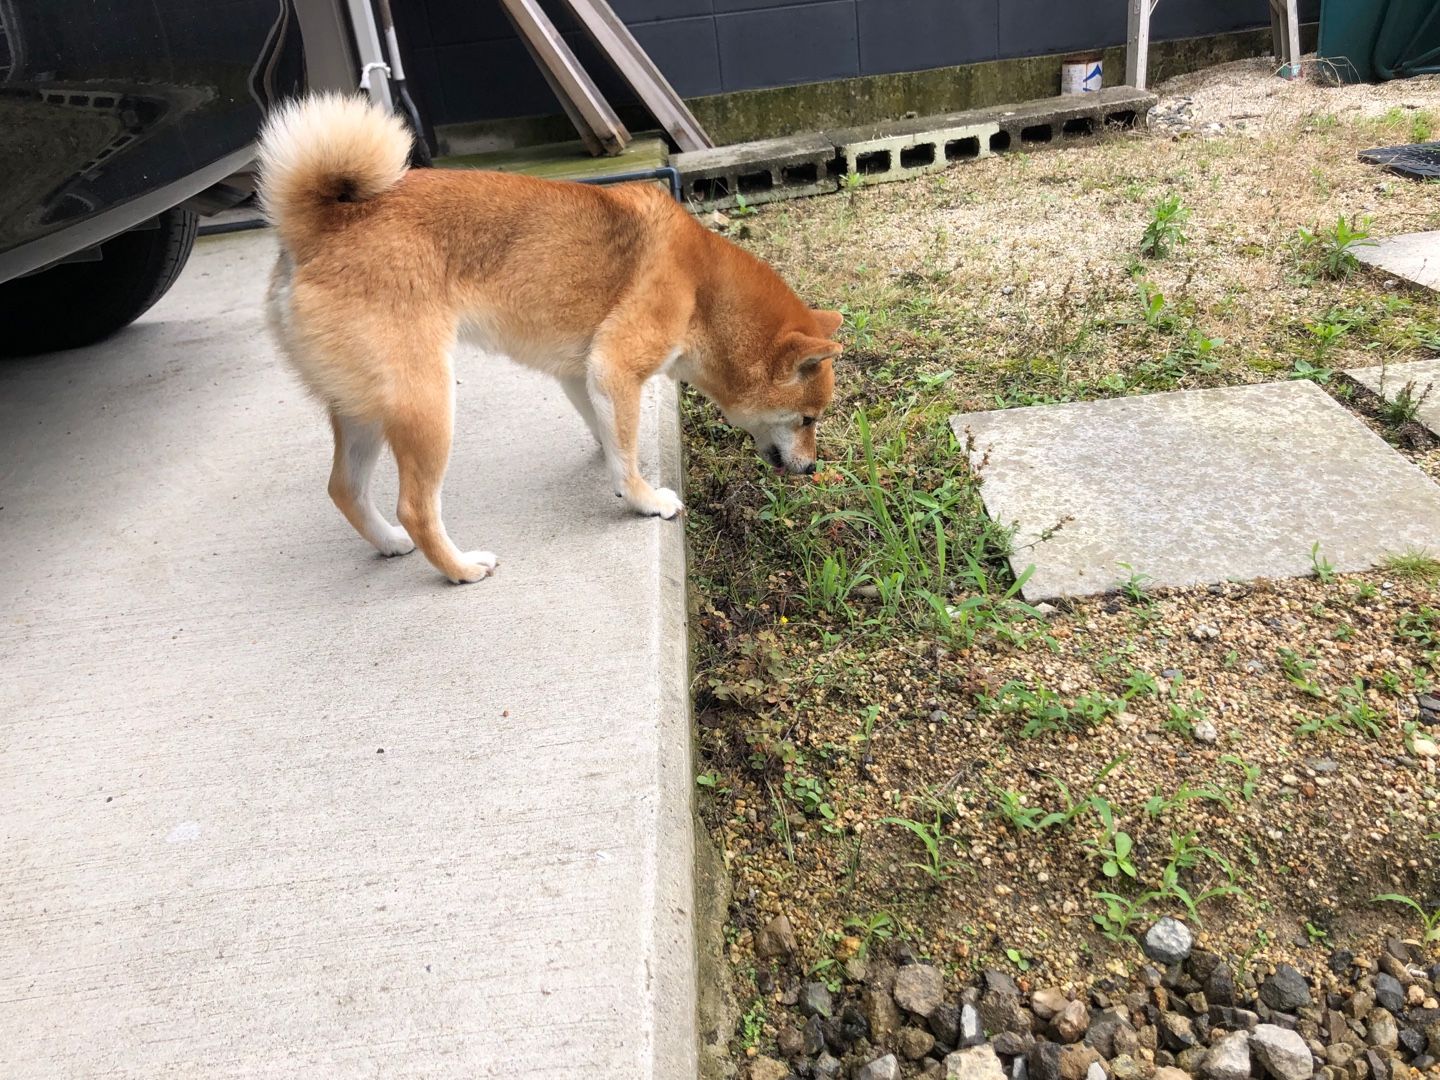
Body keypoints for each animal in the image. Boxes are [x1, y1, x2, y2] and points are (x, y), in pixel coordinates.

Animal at [259, 95, 840, 584]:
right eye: (808, 420)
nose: (813, 468)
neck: (704, 289)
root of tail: (320, 228)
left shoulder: (582, 373)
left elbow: (611, 435)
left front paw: (612, 462)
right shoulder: (615, 365)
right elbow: (627, 450)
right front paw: (644, 500)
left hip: (364, 407)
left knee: (345, 488)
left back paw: (388, 542)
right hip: (426, 401)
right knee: (416, 507)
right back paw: (461, 568)